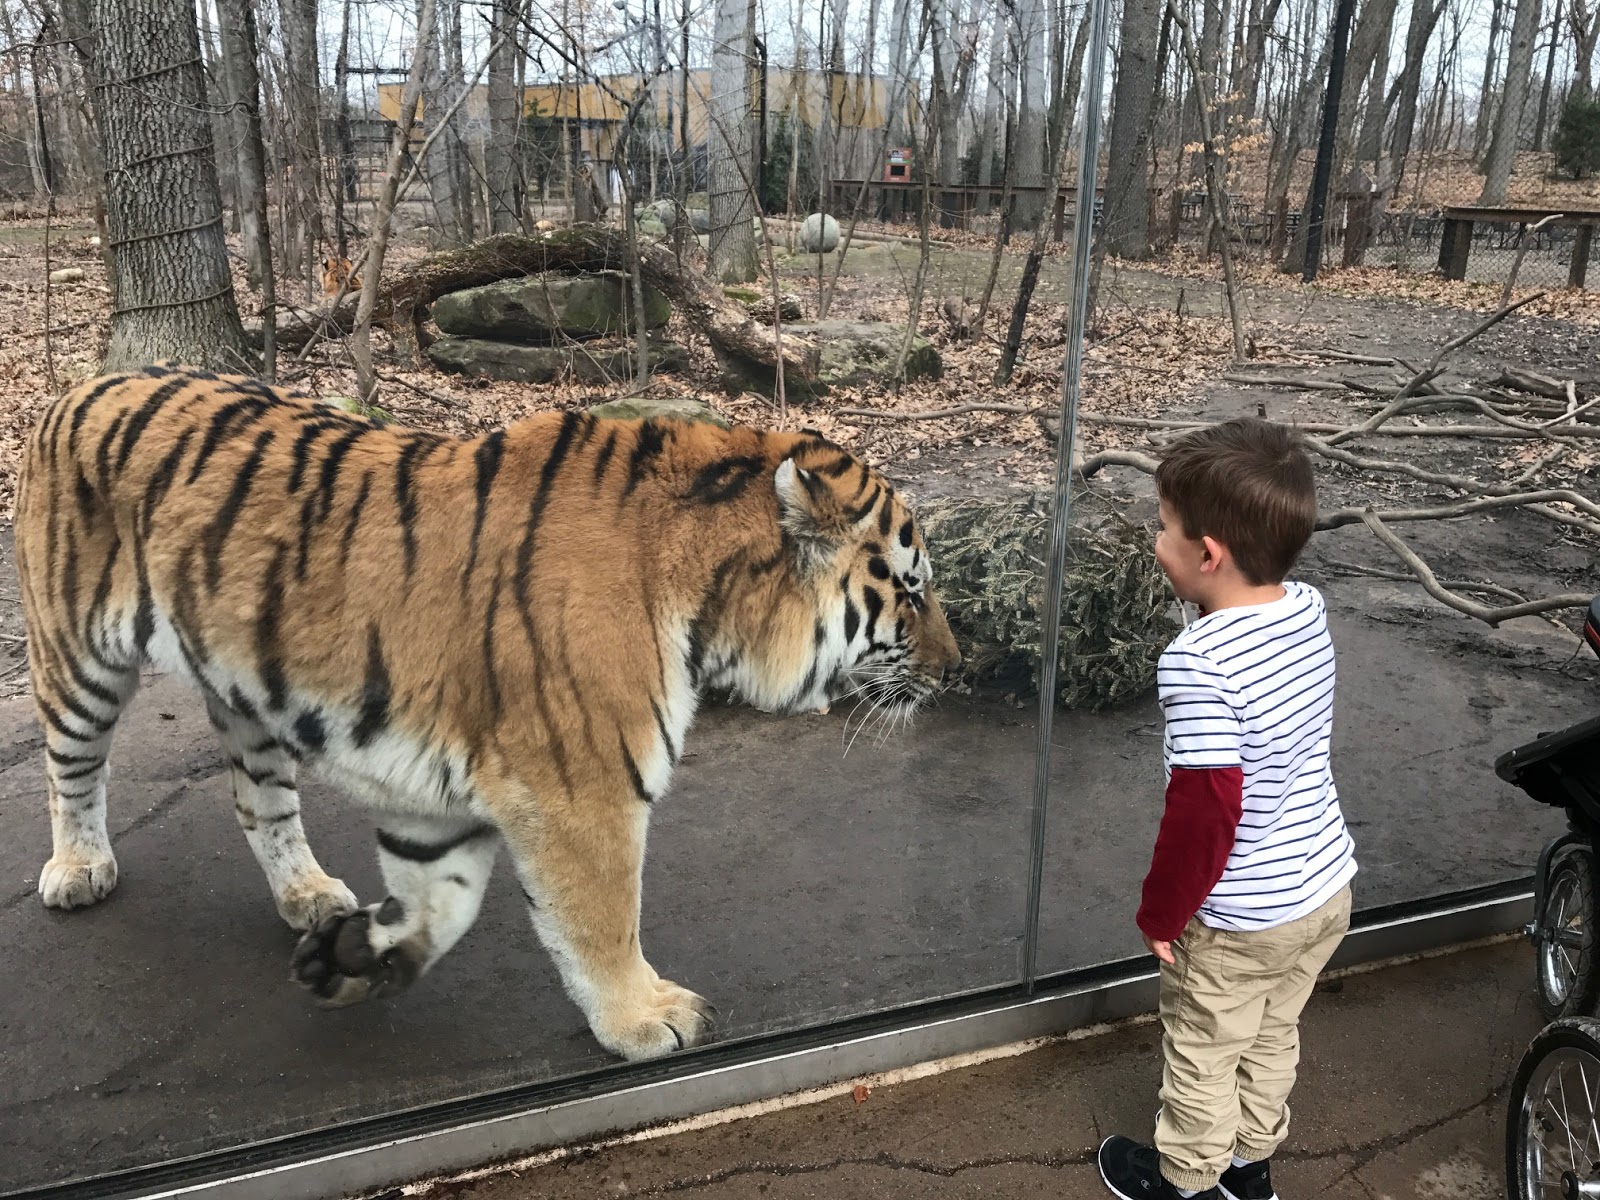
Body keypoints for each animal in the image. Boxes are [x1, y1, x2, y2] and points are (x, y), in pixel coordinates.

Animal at [15, 365, 960, 1061]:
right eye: (911, 591)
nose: (956, 671)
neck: (711, 597)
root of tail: (79, 384)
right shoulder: (584, 788)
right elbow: (604, 918)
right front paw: (645, 1018)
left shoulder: (434, 797)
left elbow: (442, 904)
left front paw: (356, 959)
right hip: (78, 657)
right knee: (72, 770)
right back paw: (78, 869)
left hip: (247, 695)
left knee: (256, 799)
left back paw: (310, 896)